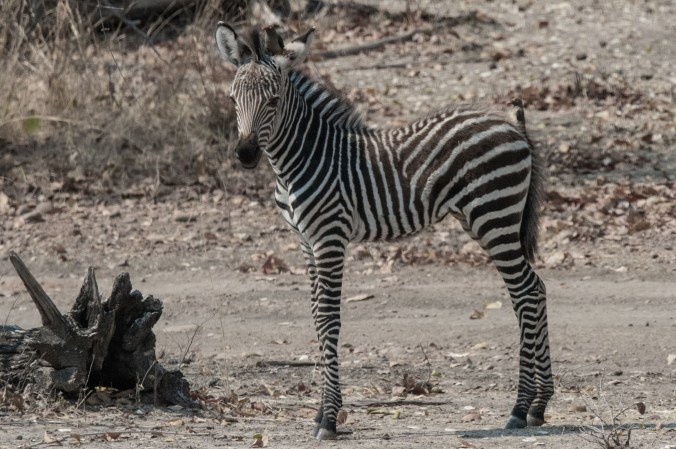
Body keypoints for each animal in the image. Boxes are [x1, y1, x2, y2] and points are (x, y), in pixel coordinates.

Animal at [215, 23, 553, 440]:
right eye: (233, 99)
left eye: (274, 101)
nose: (245, 155)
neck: (300, 159)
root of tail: (513, 125)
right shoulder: (306, 243)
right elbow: (315, 316)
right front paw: (320, 412)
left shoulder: (330, 237)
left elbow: (328, 318)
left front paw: (329, 419)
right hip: (486, 218)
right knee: (533, 290)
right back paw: (538, 405)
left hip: (494, 215)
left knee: (526, 293)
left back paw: (521, 408)